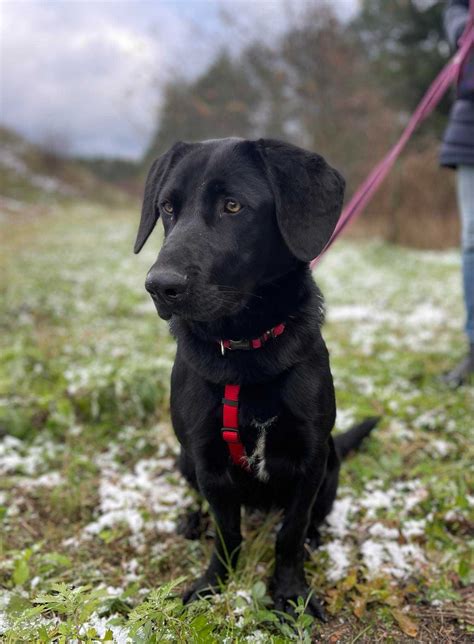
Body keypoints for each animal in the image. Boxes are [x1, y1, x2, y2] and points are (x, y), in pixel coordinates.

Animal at [134, 137, 378, 620]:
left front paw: (290, 591)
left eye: (233, 206)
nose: (159, 286)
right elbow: (227, 534)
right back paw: (192, 519)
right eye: (168, 207)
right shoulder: (207, 461)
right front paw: (212, 583)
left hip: (332, 462)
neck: (245, 351)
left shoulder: (309, 460)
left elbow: (290, 533)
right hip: (184, 460)